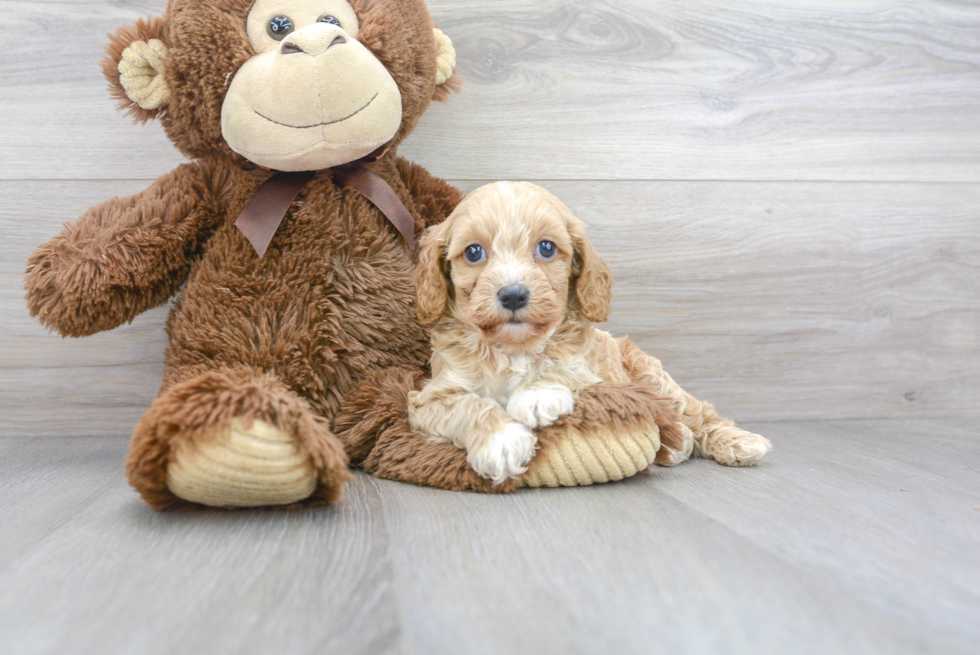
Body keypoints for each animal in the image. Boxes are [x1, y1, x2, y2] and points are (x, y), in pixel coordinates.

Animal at [406, 182, 772, 484]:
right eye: (473, 252)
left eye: (547, 248)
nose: (512, 294)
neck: (514, 347)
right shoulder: (428, 399)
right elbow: (467, 404)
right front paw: (503, 441)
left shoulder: (592, 374)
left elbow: (562, 368)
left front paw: (538, 393)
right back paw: (676, 446)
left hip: (655, 378)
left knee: (700, 413)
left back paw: (738, 442)